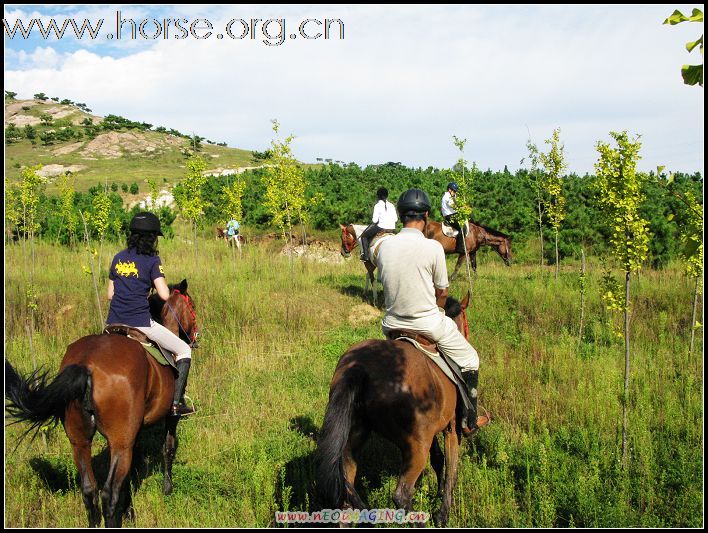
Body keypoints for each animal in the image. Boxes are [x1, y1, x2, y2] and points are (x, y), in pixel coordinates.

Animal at [5, 280, 199, 524]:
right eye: (192, 306)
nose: (194, 336)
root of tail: (86, 363)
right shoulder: (169, 417)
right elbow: (168, 448)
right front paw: (167, 489)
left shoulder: (130, 433)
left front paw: (129, 510)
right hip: (118, 441)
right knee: (108, 493)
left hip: (80, 440)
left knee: (89, 489)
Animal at [318, 294, 472, 524]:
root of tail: (359, 368)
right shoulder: (451, 428)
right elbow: (452, 469)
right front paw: (443, 513)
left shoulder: (433, 430)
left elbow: (438, 459)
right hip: (416, 447)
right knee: (401, 495)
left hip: (352, 440)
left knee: (346, 496)